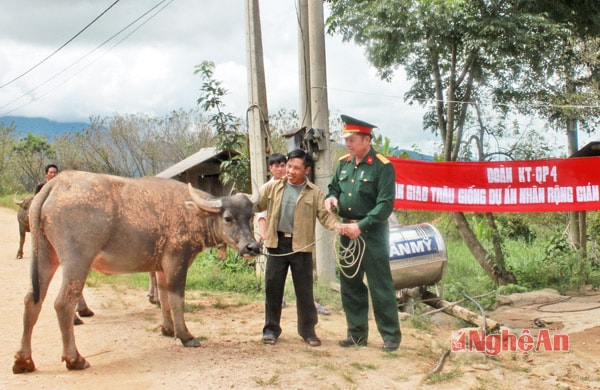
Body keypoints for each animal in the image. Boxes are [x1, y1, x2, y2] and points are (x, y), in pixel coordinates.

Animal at [12, 170, 258, 372]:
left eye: (250, 217)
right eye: (228, 218)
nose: (252, 247)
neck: (193, 213)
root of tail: (56, 184)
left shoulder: (161, 267)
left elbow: (164, 298)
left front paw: (167, 329)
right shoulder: (177, 261)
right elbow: (177, 299)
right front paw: (185, 336)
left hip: (45, 254)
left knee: (32, 300)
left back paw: (24, 360)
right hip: (76, 260)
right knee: (63, 303)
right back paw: (75, 359)